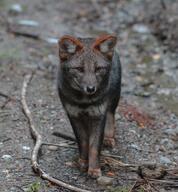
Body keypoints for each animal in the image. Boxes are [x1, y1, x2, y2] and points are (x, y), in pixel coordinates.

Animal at [57, 33, 121, 178]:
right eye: (80, 69)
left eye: (98, 69)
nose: (91, 89)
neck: (84, 102)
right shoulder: (73, 115)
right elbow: (84, 142)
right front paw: (83, 162)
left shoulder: (98, 115)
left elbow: (94, 146)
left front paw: (94, 169)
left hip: (114, 99)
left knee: (111, 116)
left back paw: (109, 138)